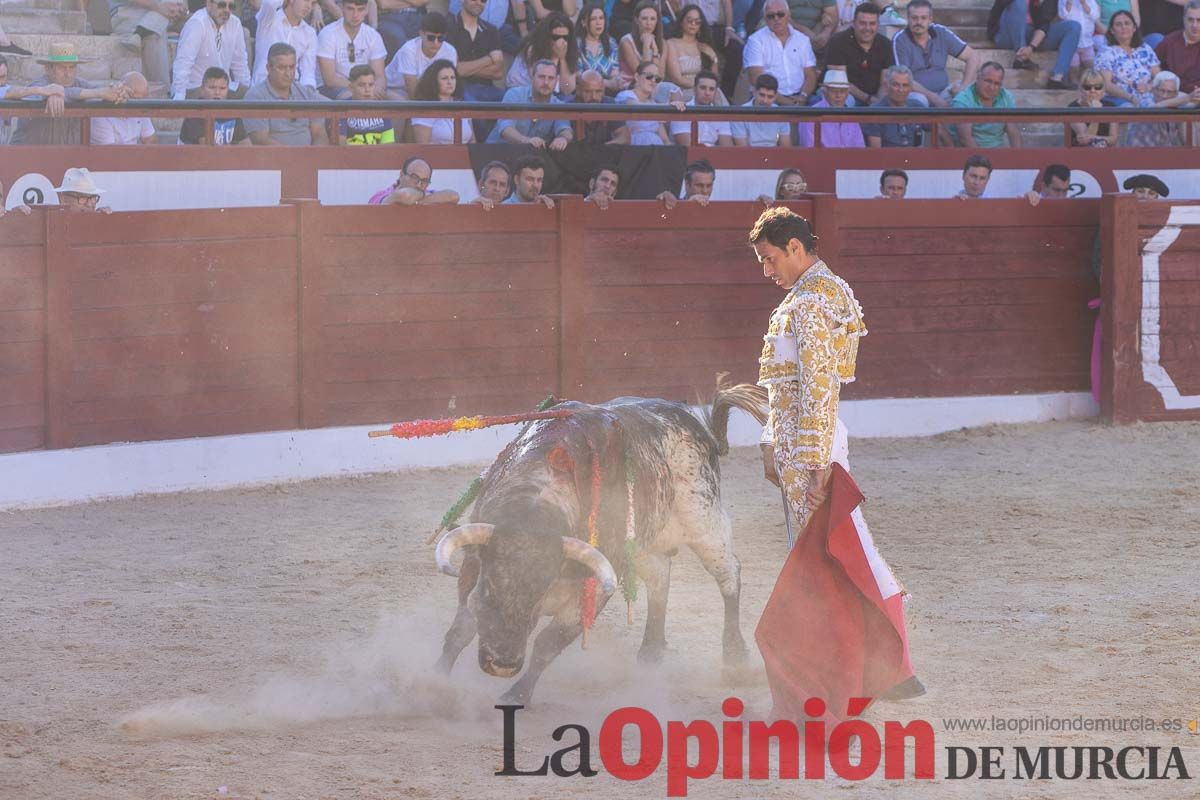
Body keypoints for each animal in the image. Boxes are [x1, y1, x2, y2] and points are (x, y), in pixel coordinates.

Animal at [436, 383, 763, 705]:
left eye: (539, 592)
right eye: (489, 587)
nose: (503, 664)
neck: (538, 501)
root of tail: (693, 422)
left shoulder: (592, 591)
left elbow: (547, 644)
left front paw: (517, 694)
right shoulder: (473, 567)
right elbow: (460, 630)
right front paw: (437, 683)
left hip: (704, 520)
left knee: (728, 574)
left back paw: (734, 656)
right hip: (643, 541)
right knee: (660, 578)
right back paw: (651, 651)